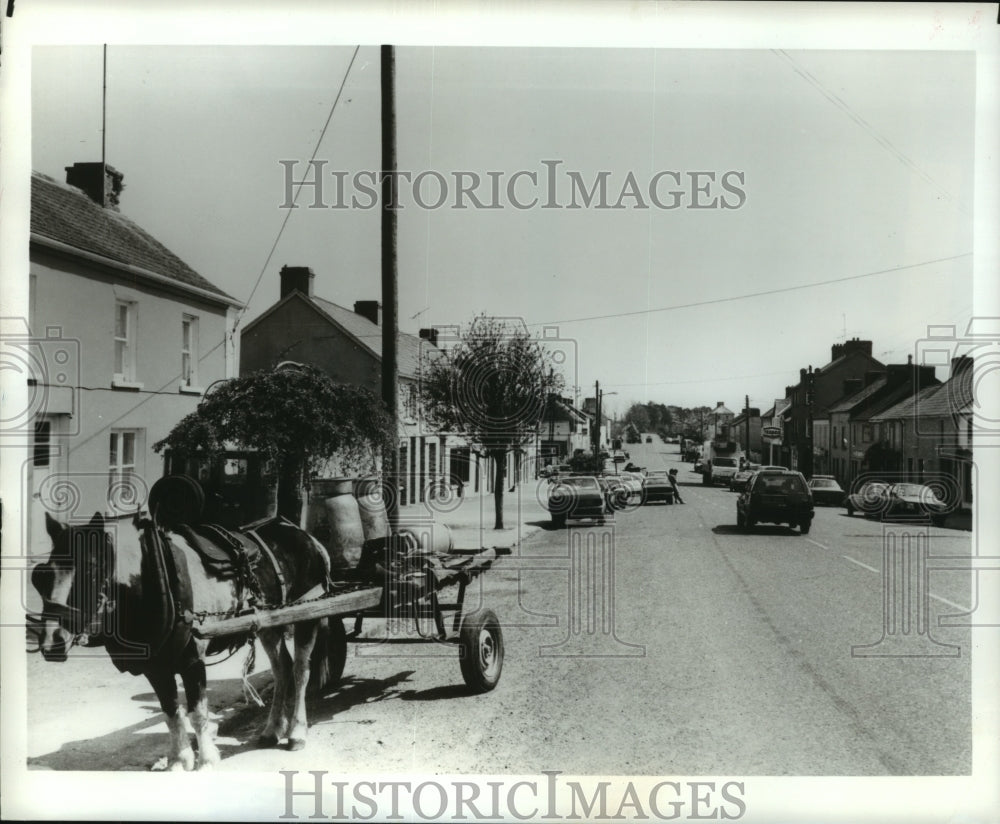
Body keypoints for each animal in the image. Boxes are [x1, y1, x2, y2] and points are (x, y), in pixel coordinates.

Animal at [33, 506, 334, 768]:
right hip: (269, 625)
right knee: (282, 668)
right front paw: (179, 760)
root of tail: (303, 534)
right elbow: (171, 712)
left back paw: (296, 733)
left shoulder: (192, 661)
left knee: (300, 671)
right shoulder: (155, 667)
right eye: (42, 575)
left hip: (306, 615)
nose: (52, 641)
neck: (156, 576)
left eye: (91, 570)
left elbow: (197, 713)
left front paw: (206, 761)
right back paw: (272, 730)